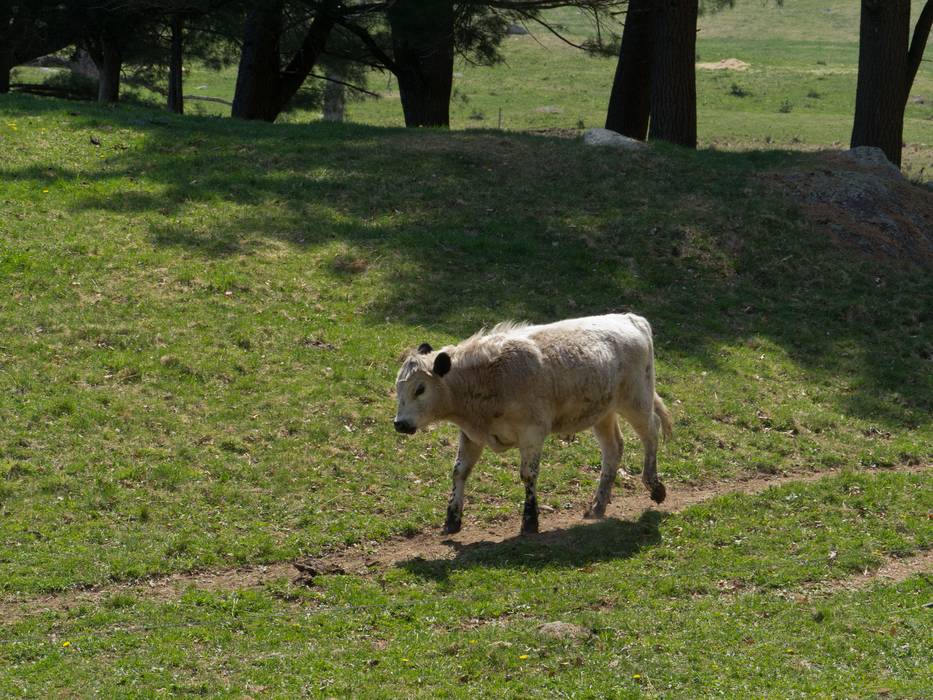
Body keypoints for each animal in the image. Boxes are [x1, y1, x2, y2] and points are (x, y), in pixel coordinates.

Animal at [392, 314, 668, 532]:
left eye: (420, 389)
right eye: (398, 388)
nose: (400, 423)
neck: (489, 376)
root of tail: (630, 318)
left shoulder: (532, 432)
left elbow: (528, 475)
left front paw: (530, 521)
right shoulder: (471, 435)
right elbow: (460, 471)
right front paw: (452, 519)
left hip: (636, 401)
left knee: (651, 433)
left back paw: (654, 486)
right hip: (603, 413)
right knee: (613, 450)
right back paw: (598, 505)